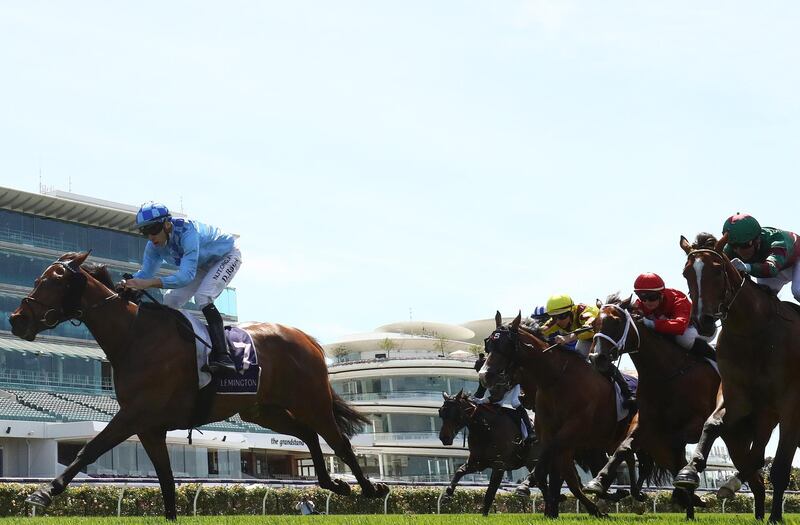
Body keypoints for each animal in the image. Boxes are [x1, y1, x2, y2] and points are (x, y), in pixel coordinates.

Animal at [7, 252, 390, 516]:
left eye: (53, 281)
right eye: (39, 277)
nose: (16, 319)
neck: (134, 337)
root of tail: (306, 338)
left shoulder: (135, 414)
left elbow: (89, 449)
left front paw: (42, 493)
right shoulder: (149, 427)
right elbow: (166, 481)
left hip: (311, 398)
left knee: (339, 442)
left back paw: (372, 489)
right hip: (261, 410)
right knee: (309, 434)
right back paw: (334, 483)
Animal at [580, 292, 768, 516]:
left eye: (616, 322)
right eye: (593, 325)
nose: (596, 358)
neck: (666, 372)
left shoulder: (691, 425)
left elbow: (678, 450)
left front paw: (687, 489)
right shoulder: (647, 424)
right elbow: (623, 449)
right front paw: (598, 482)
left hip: (735, 437)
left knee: (756, 479)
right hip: (735, 441)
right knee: (757, 482)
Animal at [676, 235, 800, 520]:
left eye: (717, 270)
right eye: (686, 273)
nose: (703, 321)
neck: (752, 330)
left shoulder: (790, 403)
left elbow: (780, 466)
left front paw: (775, 518)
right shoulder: (738, 398)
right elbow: (711, 424)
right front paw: (689, 472)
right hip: (765, 415)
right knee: (755, 458)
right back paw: (733, 487)